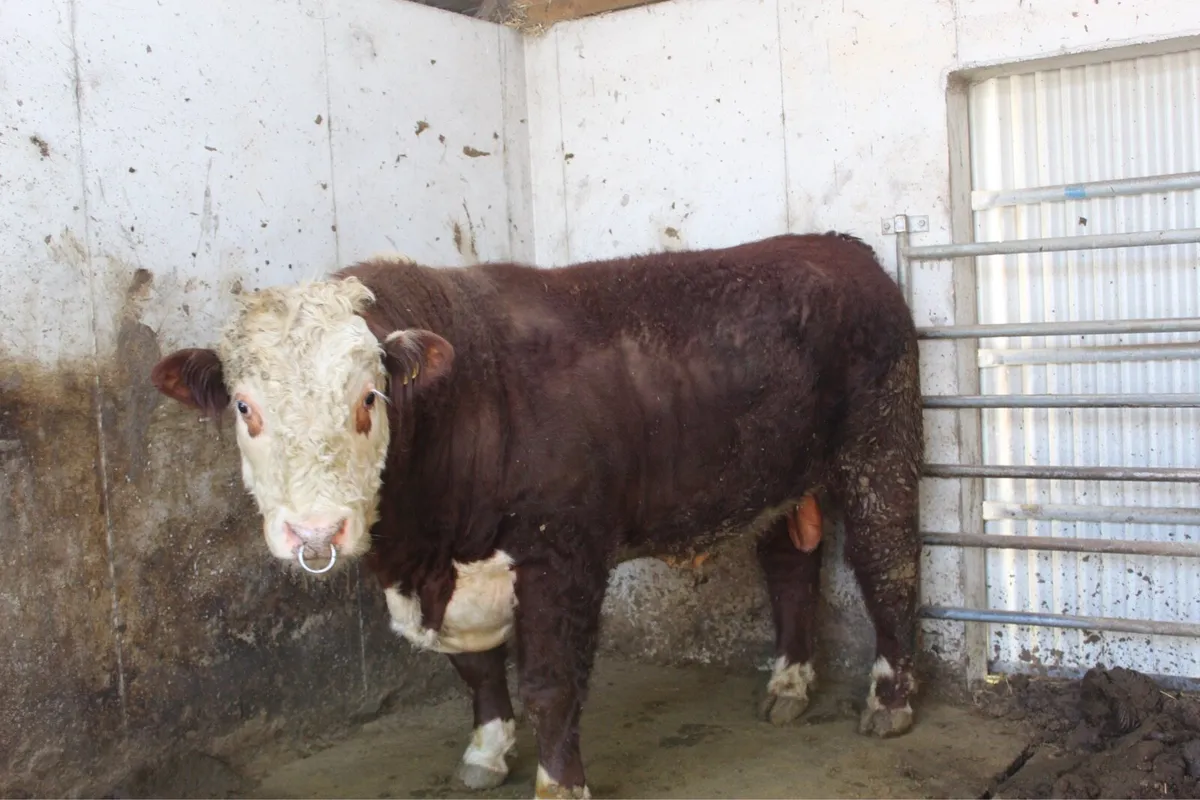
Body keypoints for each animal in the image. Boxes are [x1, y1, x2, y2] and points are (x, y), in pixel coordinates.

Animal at [151, 232, 923, 799]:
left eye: (369, 398)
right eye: (245, 406)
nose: (315, 532)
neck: (424, 549)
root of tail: (839, 246)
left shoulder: (563, 555)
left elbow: (551, 684)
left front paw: (560, 783)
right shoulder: (455, 571)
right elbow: (479, 672)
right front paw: (486, 752)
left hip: (881, 449)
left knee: (888, 567)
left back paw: (890, 700)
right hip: (780, 477)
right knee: (790, 566)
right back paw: (788, 683)